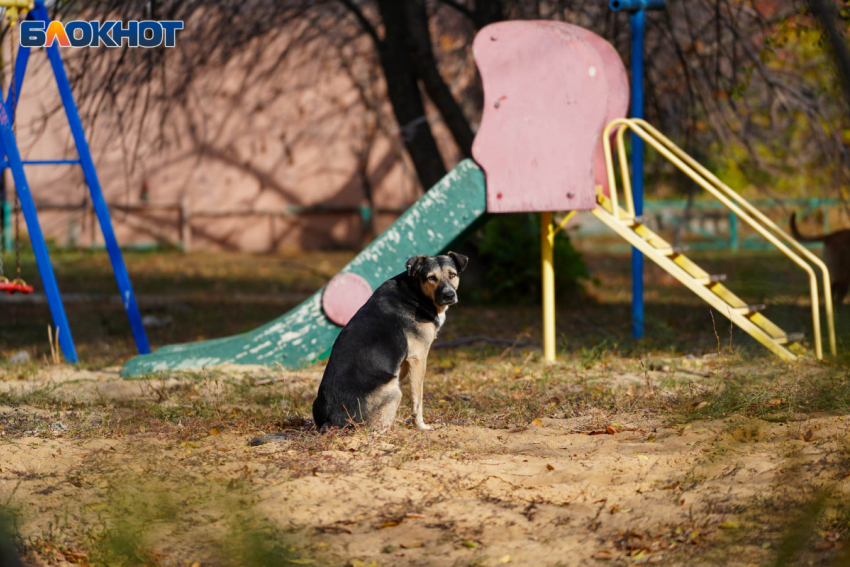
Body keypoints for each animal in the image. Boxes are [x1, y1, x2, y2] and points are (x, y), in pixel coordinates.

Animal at [314, 251, 468, 432]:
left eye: (452, 275)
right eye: (431, 278)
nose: (449, 295)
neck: (416, 292)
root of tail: (332, 420)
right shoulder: (418, 359)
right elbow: (418, 400)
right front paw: (421, 426)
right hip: (394, 391)